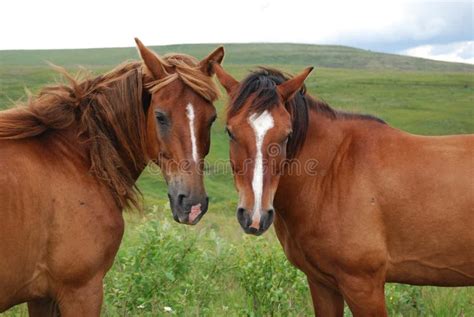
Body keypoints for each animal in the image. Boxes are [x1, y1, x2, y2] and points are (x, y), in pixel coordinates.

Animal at [0, 39, 225, 314]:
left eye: (212, 118)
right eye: (160, 116)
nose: (192, 204)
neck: (76, 157)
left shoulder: (41, 297)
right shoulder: (82, 291)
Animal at [215, 63, 474, 314]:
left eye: (286, 135)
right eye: (230, 132)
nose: (255, 217)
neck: (332, 172)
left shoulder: (363, 286)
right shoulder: (322, 284)